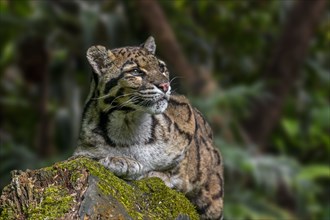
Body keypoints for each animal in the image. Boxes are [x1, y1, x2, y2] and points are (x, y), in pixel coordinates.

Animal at [75, 37, 224, 219]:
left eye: (162, 68)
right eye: (136, 71)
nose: (165, 86)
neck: (128, 122)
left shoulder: (189, 122)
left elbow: (182, 165)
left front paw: (156, 173)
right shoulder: (81, 151)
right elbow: (89, 157)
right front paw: (121, 161)